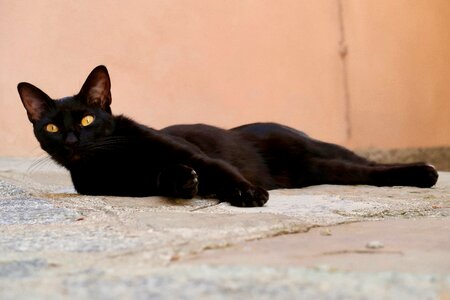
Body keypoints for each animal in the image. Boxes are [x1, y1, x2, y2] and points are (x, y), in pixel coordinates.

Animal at [16, 65, 436, 206]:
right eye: (51, 128)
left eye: (87, 120)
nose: (72, 142)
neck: (115, 157)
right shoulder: (127, 185)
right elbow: (164, 176)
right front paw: (184, 182)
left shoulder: (197, 154)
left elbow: (218, 169)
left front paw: (246, 194)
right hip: (319, 169)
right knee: (363, 174)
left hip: (318, 148)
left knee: (368, 163)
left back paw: (426, 172)